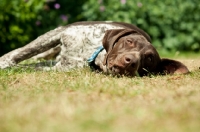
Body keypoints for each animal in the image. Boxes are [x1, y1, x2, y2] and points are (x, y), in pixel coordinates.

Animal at [0, 20, 189, 76]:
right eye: (129, 42)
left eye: (149, 59)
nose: (131, 62)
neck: (91, 53)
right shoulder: (58, 33)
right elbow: (17, 54)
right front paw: (3, 62)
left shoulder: (58, 68)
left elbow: (24, 67)